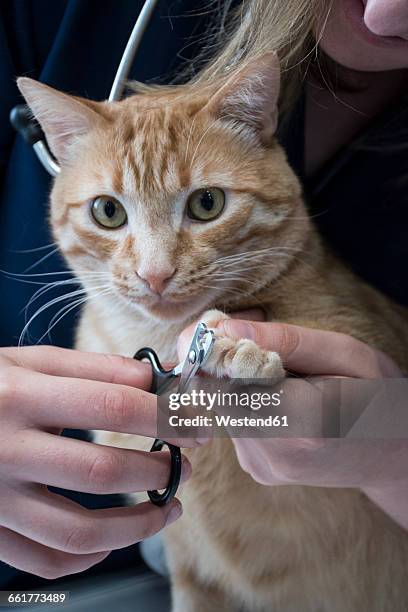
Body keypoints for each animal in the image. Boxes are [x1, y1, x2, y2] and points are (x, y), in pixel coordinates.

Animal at [17, 53, 408, 612]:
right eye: (108, 211)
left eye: (207, 204)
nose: (155, 275)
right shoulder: (191, 568)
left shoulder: (377, 341)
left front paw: (232, 347)